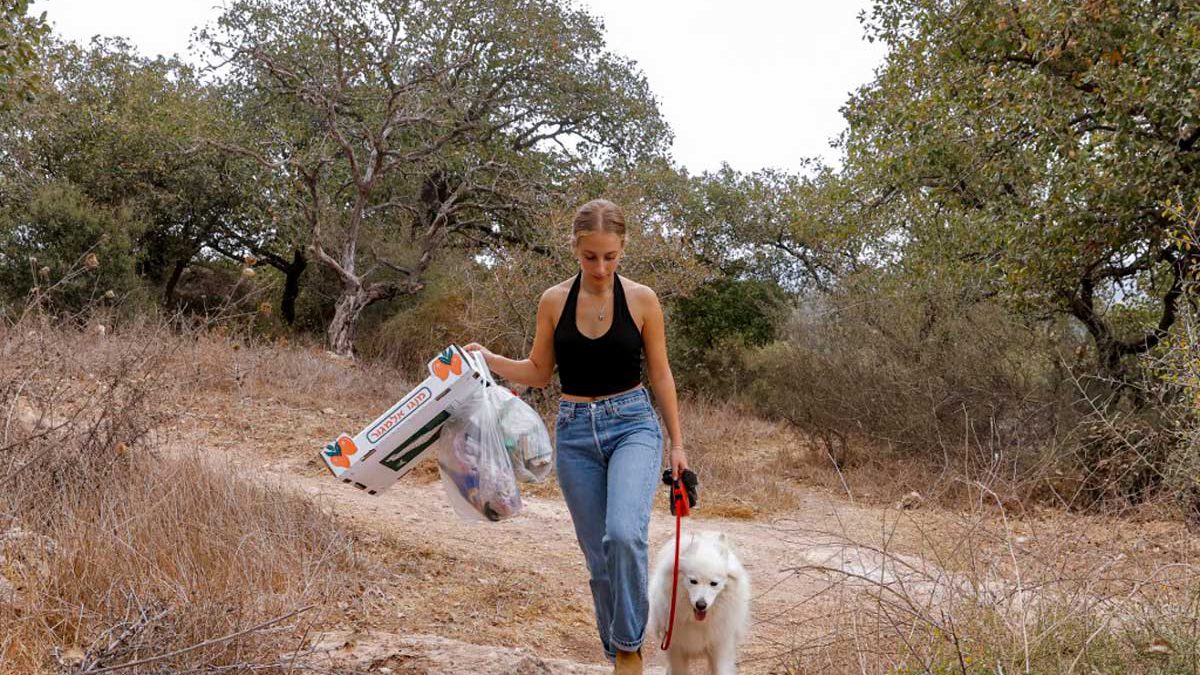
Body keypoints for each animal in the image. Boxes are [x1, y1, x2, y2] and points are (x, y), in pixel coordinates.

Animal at [652, 528, 744, 667]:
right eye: (693, 581)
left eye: (714, 583)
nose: (701, 605)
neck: (697, 622)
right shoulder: (675, 648)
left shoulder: (720, 646)